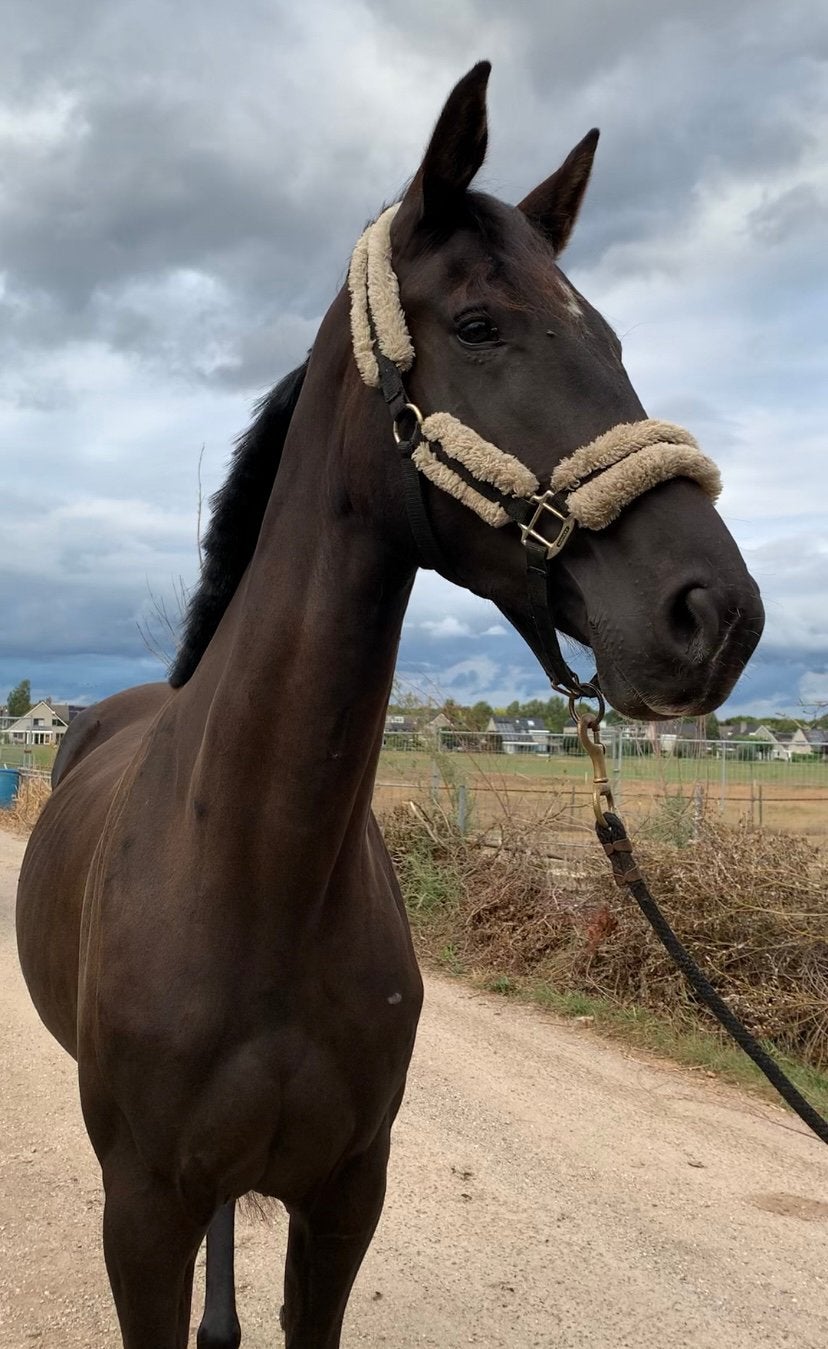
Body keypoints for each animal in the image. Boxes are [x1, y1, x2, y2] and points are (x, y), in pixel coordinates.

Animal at [16, 61, 763, 1348]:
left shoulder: (346, 1200)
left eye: (613, 339)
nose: (716, 612)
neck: (258, 874)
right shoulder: (142, 1215)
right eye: (477, 325)